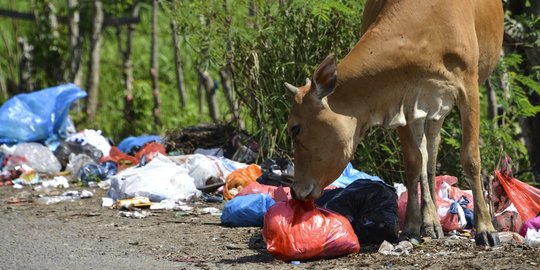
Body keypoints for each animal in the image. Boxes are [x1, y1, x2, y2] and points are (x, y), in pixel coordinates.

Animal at [284, 0, 504, 246]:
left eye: (295, 128)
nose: (295, 191)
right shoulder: (401, 99)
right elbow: (413, 162)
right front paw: (410, 227)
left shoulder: (468, 88)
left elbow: (471, 158)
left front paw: (486, 229)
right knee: (426, 155)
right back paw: (430, 221)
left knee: (432, 149)